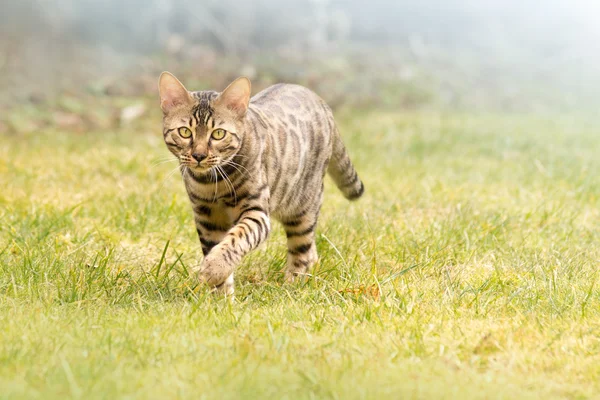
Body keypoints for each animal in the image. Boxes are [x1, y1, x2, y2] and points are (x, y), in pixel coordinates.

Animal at [159, 73, 364, 296]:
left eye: (219, 134)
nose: (199, 155)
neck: (213, 183)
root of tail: (322, 103)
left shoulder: (256, 212)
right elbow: (214, 247)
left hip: (303, 208)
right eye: (185, 132)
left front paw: (214, 269)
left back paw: (293, 286)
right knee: (311, 251)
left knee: (302, 251)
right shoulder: (207, 218)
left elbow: (235, 239)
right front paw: (221, 296)